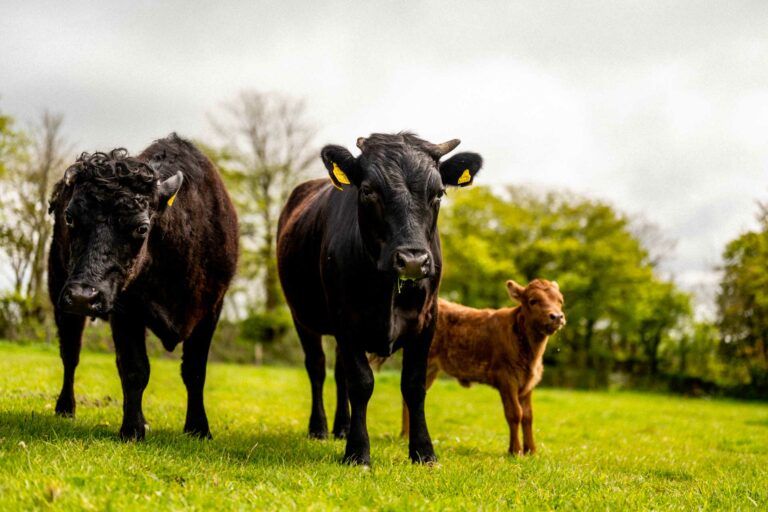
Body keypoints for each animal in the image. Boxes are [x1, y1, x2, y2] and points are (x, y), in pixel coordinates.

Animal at [47, 133, 237, 440]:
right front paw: (133, 429)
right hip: (59, 293)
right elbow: (135, 369)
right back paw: (65, 407)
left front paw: (198, 428)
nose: (83, 296)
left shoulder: (211, 309)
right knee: (70, 353)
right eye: (70, 217)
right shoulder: (125, 309)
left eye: (141, 228)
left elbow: (195, 371)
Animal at [276, 132, 480, 464]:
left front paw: (424, 451)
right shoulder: (345, 318)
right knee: (317, 367)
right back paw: (319, 428)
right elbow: (361, 382)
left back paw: (342, 427)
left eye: (438, 193)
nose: (412, 260)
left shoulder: (427, 319)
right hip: (302, 316)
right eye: (368, 191)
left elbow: (413, 385)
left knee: (338, 372)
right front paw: (358, 452)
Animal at [402, 280, 564, 456]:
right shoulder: (506, 378)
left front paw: (531, 451)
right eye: (533, 300)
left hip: (431, 368)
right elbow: (515, 413)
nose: (557, 316)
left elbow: (528, 415)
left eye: (560, 301)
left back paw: (405, 435)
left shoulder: (528, 383)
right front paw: (516, 451)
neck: (531, 356)